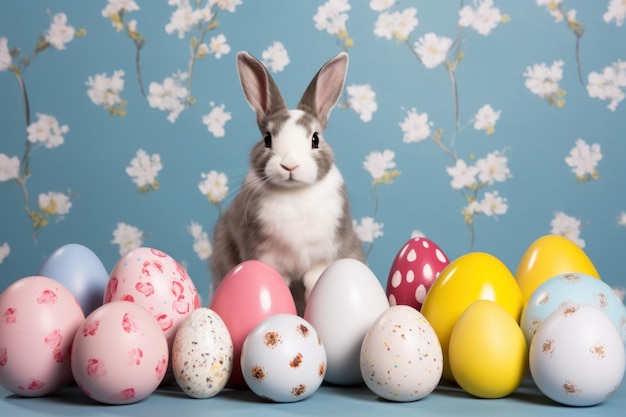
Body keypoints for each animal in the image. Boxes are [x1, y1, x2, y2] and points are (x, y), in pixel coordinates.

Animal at [211, 50, 364, 314]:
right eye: (267, 139)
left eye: (315, 139)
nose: (290, 165)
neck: (294, 193)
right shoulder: (268, 260)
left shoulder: (322, 260)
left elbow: (315, 282)